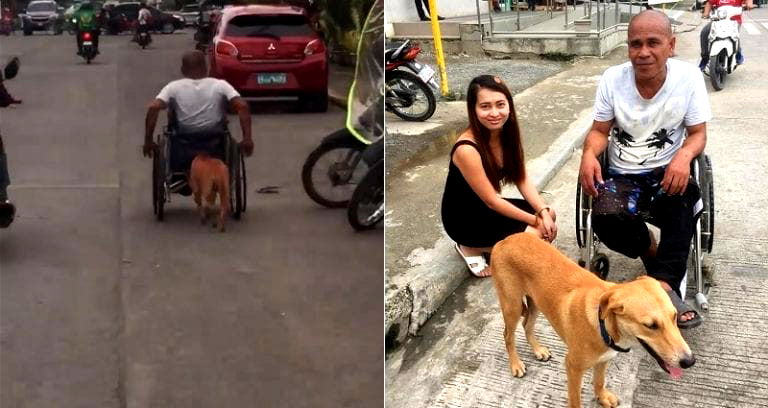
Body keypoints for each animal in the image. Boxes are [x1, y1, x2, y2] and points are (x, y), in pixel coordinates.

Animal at [492, 233, 696, 408]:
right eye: (650, 326)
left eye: (674, 316)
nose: (690, 361)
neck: (603, 325)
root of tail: (504, 240)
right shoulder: (573, 367)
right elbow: (575, 401)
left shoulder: (604, 360)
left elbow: (599, 381)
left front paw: (602, 397)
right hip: (512, 306)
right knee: (508, 336)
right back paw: (516, 364)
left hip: (536, 303)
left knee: (527, 325)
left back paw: (538, 350)